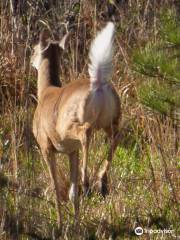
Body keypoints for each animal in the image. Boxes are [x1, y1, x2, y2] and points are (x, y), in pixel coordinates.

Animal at [30, 22, 121, 227]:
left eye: (34, 49)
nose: (31, 60)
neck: (45, 93)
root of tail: (98, 85)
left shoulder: (46, 146)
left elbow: (56, 188)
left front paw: (59, 224)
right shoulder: (72, 151)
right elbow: (72, 193)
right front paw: (76, 224)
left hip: (68, 126)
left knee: (86, 132)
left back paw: (87, 182)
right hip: (113, 118)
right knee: (116, 136)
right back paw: (102, 181)